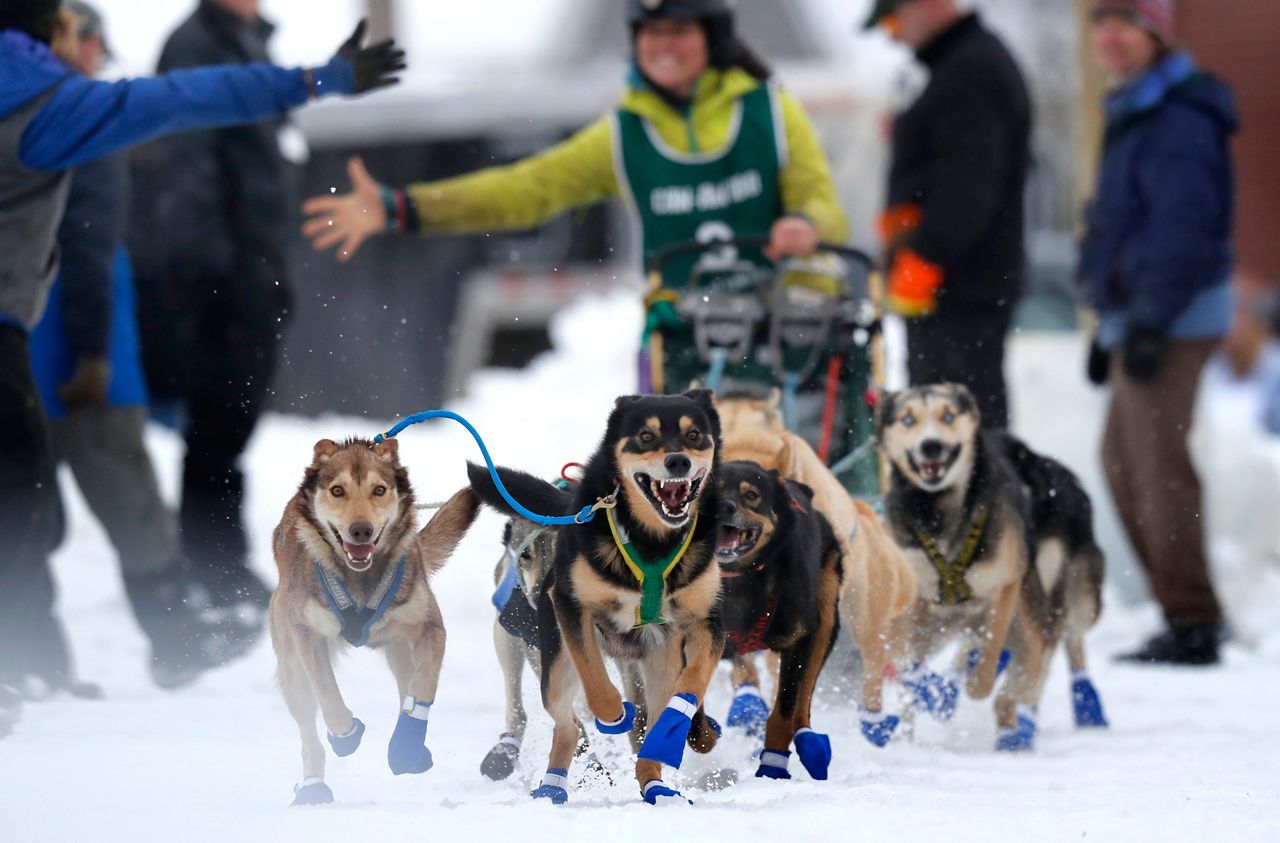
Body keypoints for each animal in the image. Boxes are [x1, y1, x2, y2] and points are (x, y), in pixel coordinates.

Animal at [267, 437, 478, 808]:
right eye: (337, 490)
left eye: (379, 490)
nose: (361, 530)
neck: (360, 580)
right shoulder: (307, 635)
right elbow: (328, 695)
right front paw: (345, 734)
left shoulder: (430, 626)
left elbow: (423, 685)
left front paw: (407, 747)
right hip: (292, 664)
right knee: (308, 728)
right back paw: (312, 786)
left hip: (399, 645)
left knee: (406, 685)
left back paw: (413, 748)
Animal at [465, 391, 727, 808]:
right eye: (526, 556)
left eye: (694, 434)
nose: (539, 594)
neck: (650, 543)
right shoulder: (557, 627)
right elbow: (590, 690)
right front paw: (609, 718)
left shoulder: (701, 622)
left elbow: (689, 686)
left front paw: (682, 726)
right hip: (520, 643)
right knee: (547, 716)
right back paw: (543, 771)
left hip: (651, 657)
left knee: (643, 717)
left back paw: (656, 774)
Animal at [716, 460, 844, 782]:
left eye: (752, 495)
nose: (724, 506)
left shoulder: (801, 640)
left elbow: (785, 710)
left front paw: (772, 767)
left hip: (826, 618)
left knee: (804, 699)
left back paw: (809, 741)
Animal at [875, 386, 1105, 757]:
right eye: (908, 419)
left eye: (948, 416)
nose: (931, 445)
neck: (939, 512)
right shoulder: (914, 603)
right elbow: (909, 665)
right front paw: (916, 717)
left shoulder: (1005, 587)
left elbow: (990, 665)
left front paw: (978, 686)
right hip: (948, 624)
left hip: (1072, 600)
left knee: (1062, 641)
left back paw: (1070, 707)